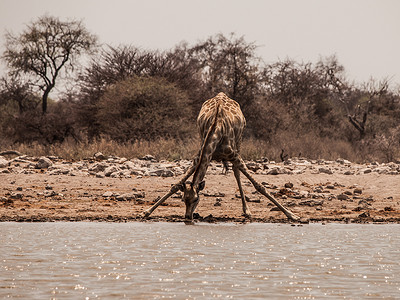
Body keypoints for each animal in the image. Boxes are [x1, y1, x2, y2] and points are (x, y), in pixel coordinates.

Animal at [142, 91, 298, 223]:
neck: (216, 132)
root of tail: (222, 94)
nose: (187, 217)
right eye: (183, 199)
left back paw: (247, 211)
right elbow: (175, 186)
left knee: (236, 171)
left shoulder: (234, 155)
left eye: (196, 199)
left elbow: (259, 186)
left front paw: (292, 214)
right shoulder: (199, 157)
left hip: (239, 141)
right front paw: (147, 211)